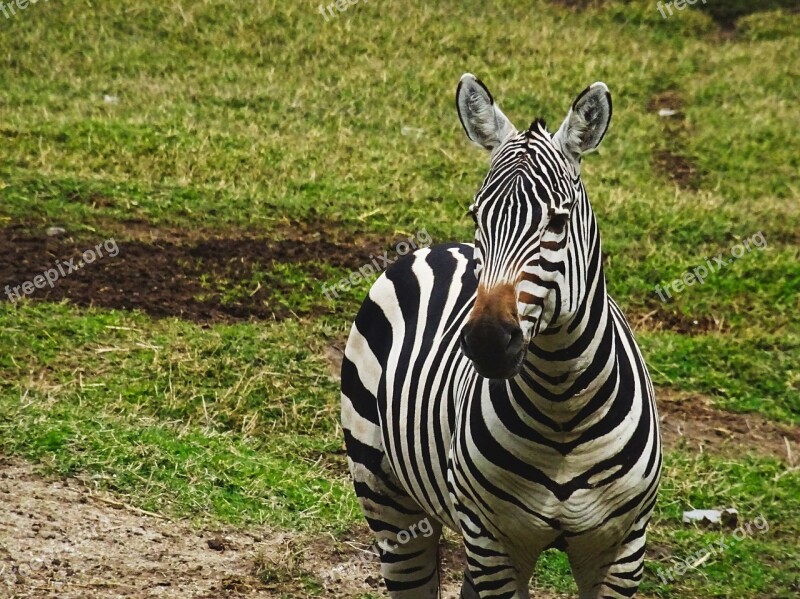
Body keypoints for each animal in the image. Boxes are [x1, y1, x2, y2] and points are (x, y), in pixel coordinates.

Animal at [342, 75, 664, 599]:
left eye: (557, 221)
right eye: (477, 216)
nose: (488, 342)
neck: (562, 408)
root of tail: (438, 248)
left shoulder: (624, 549)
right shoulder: (492, 538)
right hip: (386, 495)